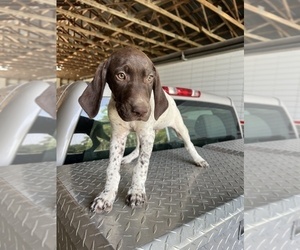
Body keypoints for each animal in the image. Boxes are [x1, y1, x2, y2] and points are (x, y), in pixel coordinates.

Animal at [78, 47, 209, 213]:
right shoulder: (119, 135)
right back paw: (127, 158)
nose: (142, 111)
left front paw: (137, 192)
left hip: (179, 128)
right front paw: (106, 195)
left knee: (188, 144)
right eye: (121, 75)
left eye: (150, 77)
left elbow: (141, 167)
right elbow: (112, 169)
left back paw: (198, 159)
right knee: (137, 148)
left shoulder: (147, 134)